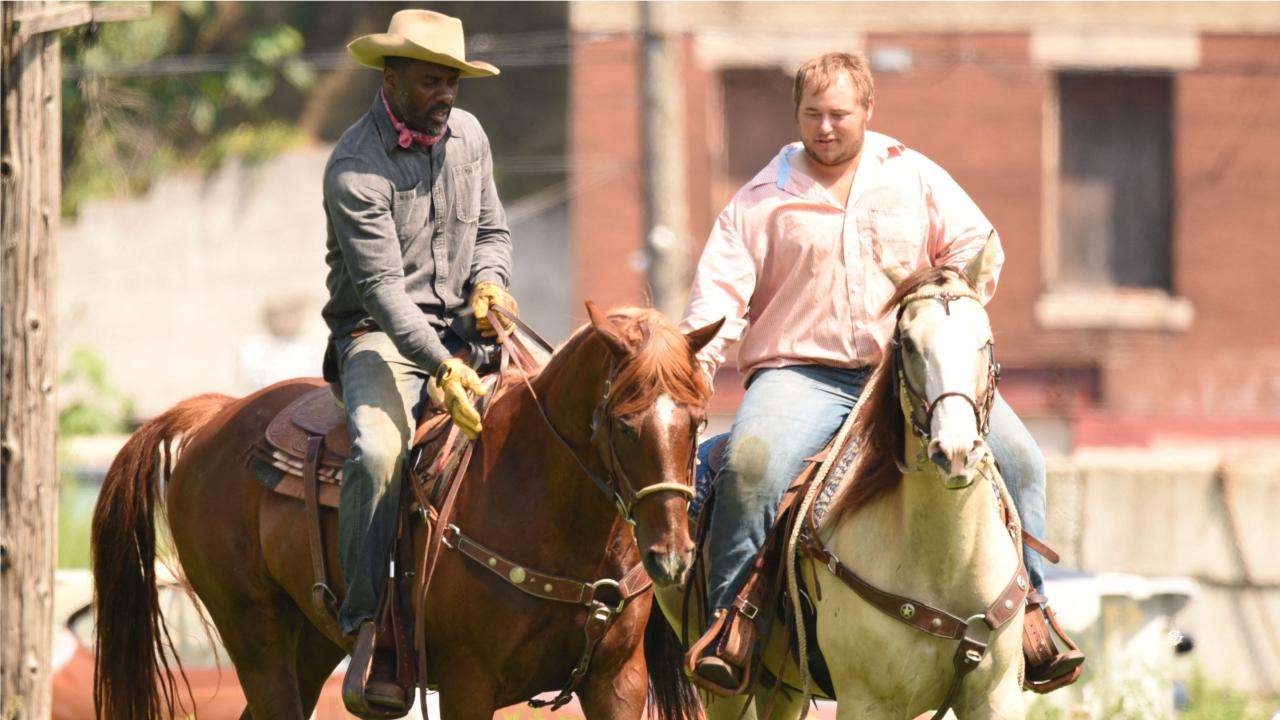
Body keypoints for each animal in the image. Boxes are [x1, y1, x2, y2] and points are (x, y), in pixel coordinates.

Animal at [92, 304, 721, 717]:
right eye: (623, 424)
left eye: (698, 419)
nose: (671, 556)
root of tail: (218, 414)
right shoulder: (470, 685)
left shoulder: (618, 684)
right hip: (254, 633)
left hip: (312, 639)